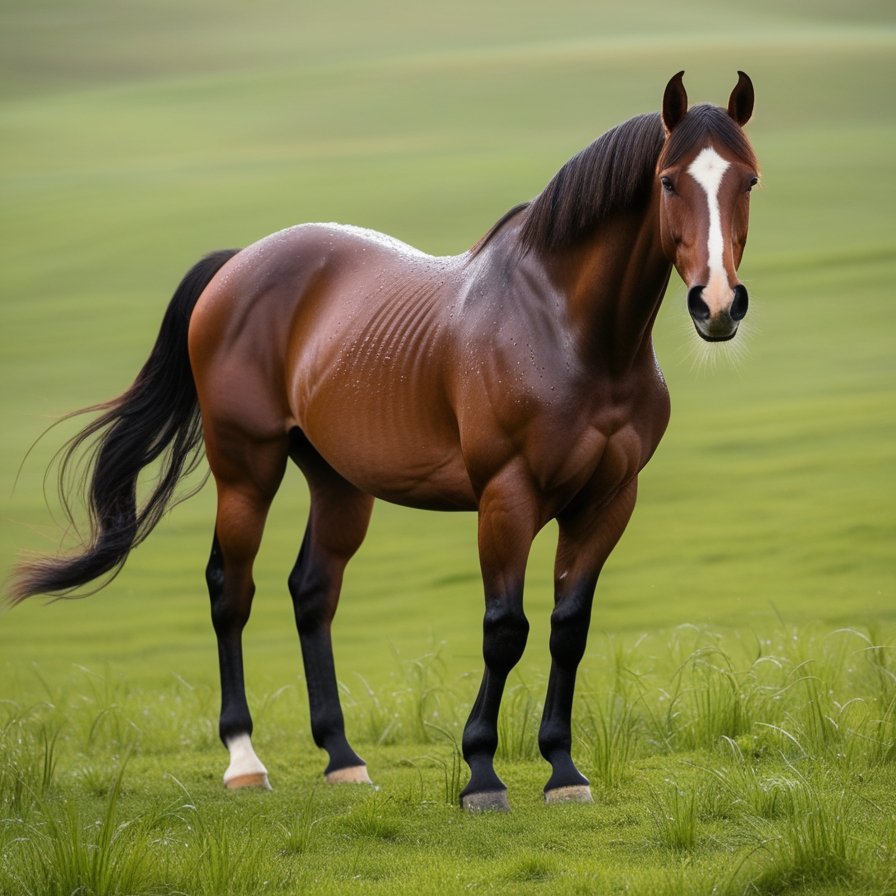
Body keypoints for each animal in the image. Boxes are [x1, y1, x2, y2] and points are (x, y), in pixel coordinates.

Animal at [10, 72, 760, 812]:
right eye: (669, 181)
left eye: (748, 179)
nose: (717, 304)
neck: (567, 332)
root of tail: (237, 265)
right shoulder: (506, 496)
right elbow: (504, 629)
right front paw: (481, 774)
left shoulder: (608, 501)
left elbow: (568, 628)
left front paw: (563, 770)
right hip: (246, 468)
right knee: (231, 590)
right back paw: (244, 760)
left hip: (338, 480)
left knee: (312, 591)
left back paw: (342, 758)